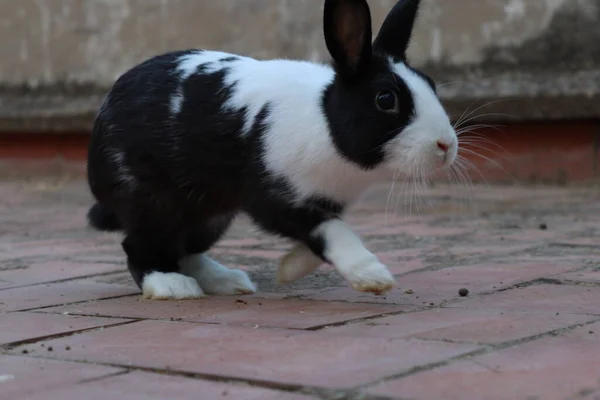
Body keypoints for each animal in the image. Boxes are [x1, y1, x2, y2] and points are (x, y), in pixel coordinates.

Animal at [86, 0, 458, 300]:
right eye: (385, 99)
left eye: (431, 84)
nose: (446, 145)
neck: (326, 124)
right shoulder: (276, 198)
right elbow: (333, 232)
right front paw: (371, 276)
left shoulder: (321, 204)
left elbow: (318, 239)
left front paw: (288, 270)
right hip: (152, 202)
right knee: (141, 246)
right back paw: (172, 287)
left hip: (212, 215)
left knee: (187, 249)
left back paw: (228, 282)